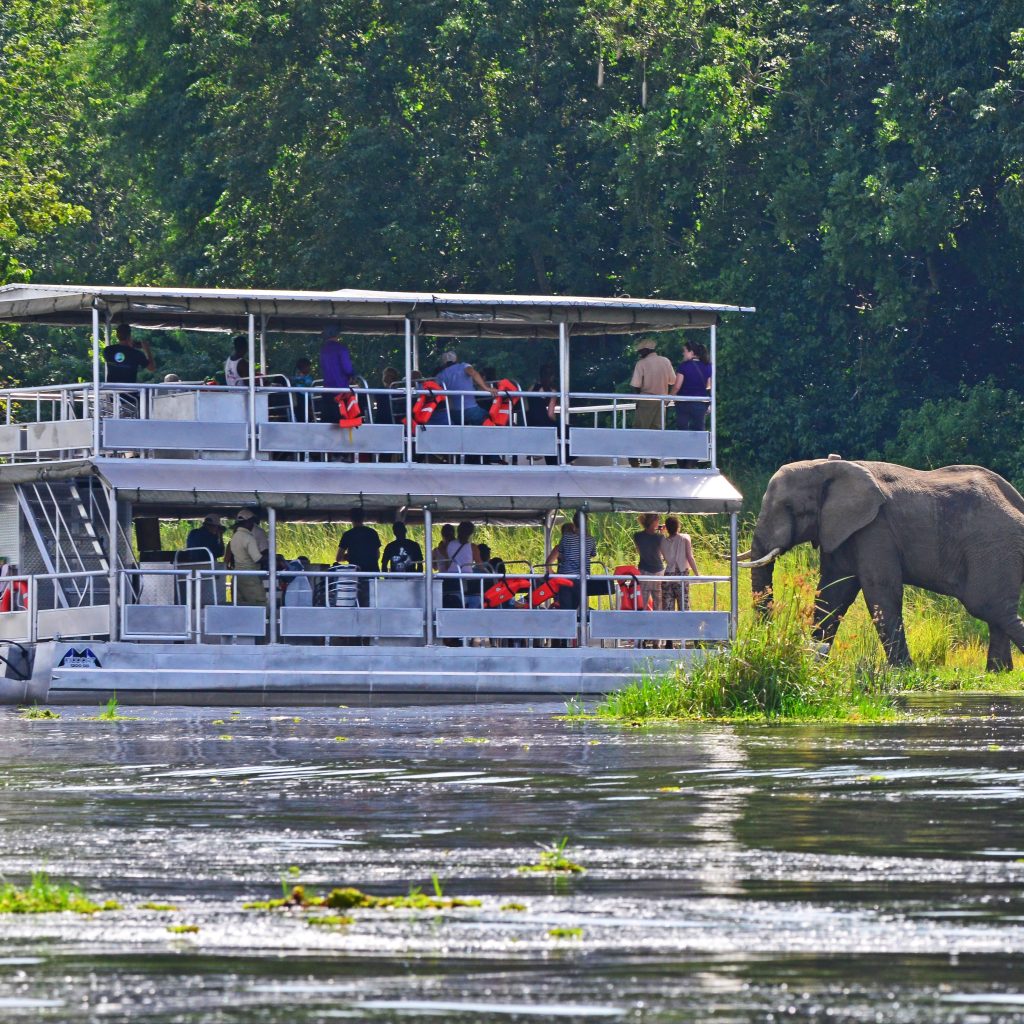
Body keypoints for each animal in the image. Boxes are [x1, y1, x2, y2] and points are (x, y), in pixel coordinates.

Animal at [741, 458, 1024, 671]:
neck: (826, 466)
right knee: (996, 611)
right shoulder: (841, 530)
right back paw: (998, 671)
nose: (765, 639)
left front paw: (902, 669)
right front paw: (813, 660)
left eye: (790, 508)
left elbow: (880, 590)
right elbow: (833, 592)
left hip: (993, 545)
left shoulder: (876, 528)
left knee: (987, 606)